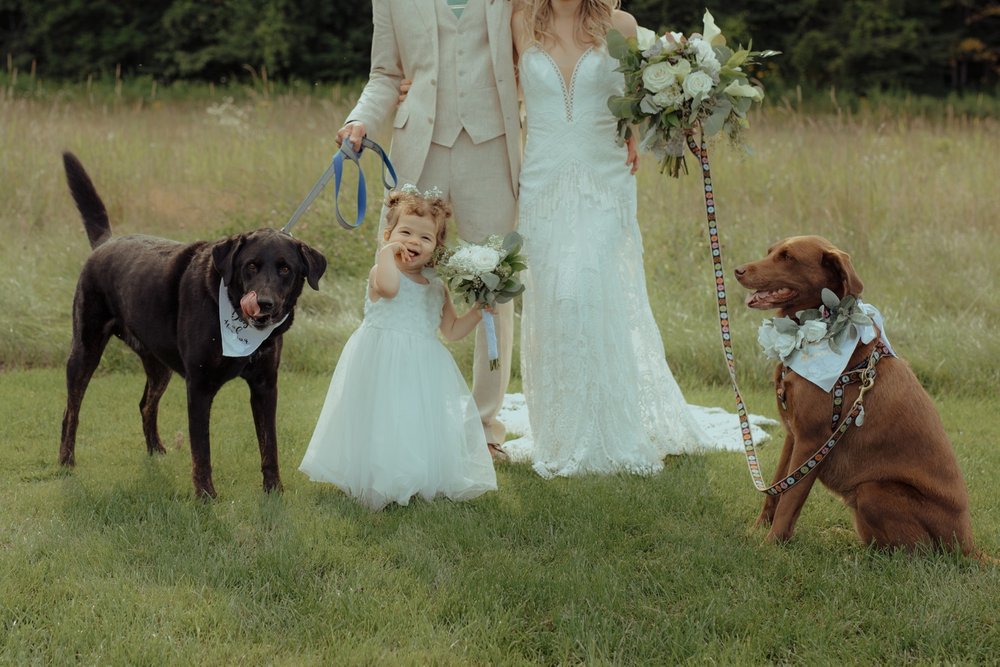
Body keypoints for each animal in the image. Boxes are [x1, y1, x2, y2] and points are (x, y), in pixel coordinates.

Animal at [60, 151, 326, 496]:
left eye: (285, 269)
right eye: (251, 266)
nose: (265, 304)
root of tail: (106, 242)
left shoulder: (265, 386)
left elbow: (270, 445)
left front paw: (274, 491)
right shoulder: (199, 387)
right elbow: (202, 450)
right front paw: (206, 496)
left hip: (159, 366)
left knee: (145, 404)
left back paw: (156, 452)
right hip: (85, 350)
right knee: (71, 411)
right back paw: (66, 463)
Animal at [736, 237, 976, 556]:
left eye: (787, 257)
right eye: (770, 252)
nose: (737, 270)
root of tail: (969, 547)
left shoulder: (812, 441)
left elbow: (790, 499)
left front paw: (771, 547)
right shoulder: (792, 435)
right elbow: (776, 488)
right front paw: (756, 532)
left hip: (872, 490)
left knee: (913, 553)